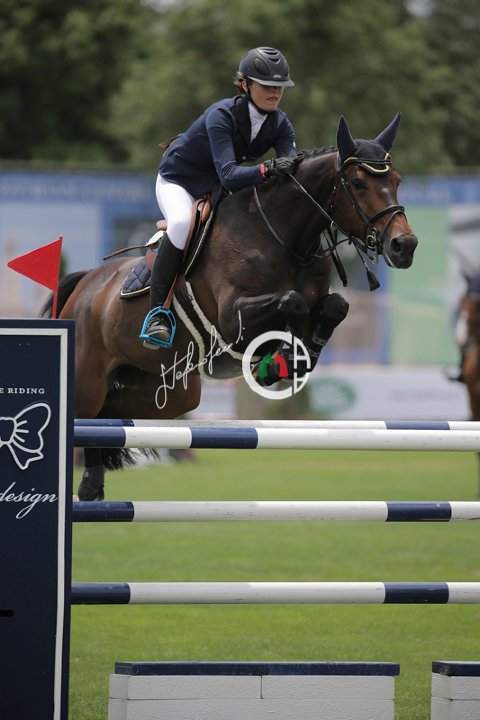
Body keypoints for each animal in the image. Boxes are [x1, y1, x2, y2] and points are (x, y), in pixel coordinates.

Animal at [41, 113, 418, 501]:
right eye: (358, 184)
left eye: (396, 181)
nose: (405, 246)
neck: (285, 238)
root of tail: (85, 282)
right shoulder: (230, 319)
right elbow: (292, 303)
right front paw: (278, 362)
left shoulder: (318, 302)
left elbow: (336, 307)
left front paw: (296, 359)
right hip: (88, 380)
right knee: (87, 413)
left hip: (168, 394)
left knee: (109, 414)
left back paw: (91, 485)